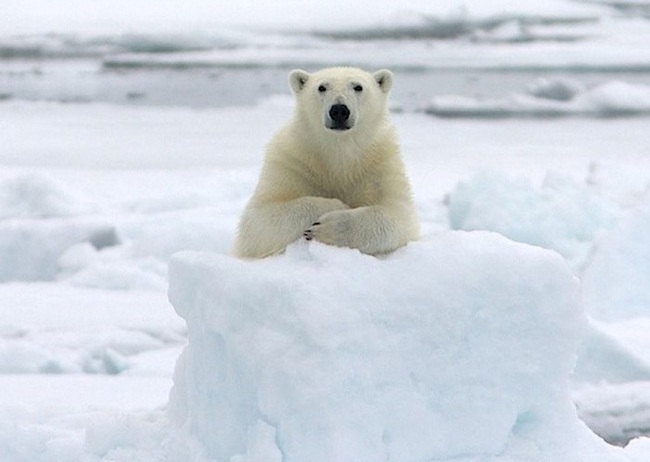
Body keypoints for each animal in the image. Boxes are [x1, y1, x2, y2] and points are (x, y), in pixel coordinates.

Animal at [233, 67, 420, 258]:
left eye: (358, 87)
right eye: (321, 87)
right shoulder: (291, 162)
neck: (338, 150)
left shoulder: (379, 166)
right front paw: (338, 205)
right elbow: (258, 220)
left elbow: (400, 216)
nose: (339, 110)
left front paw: (330, 227)